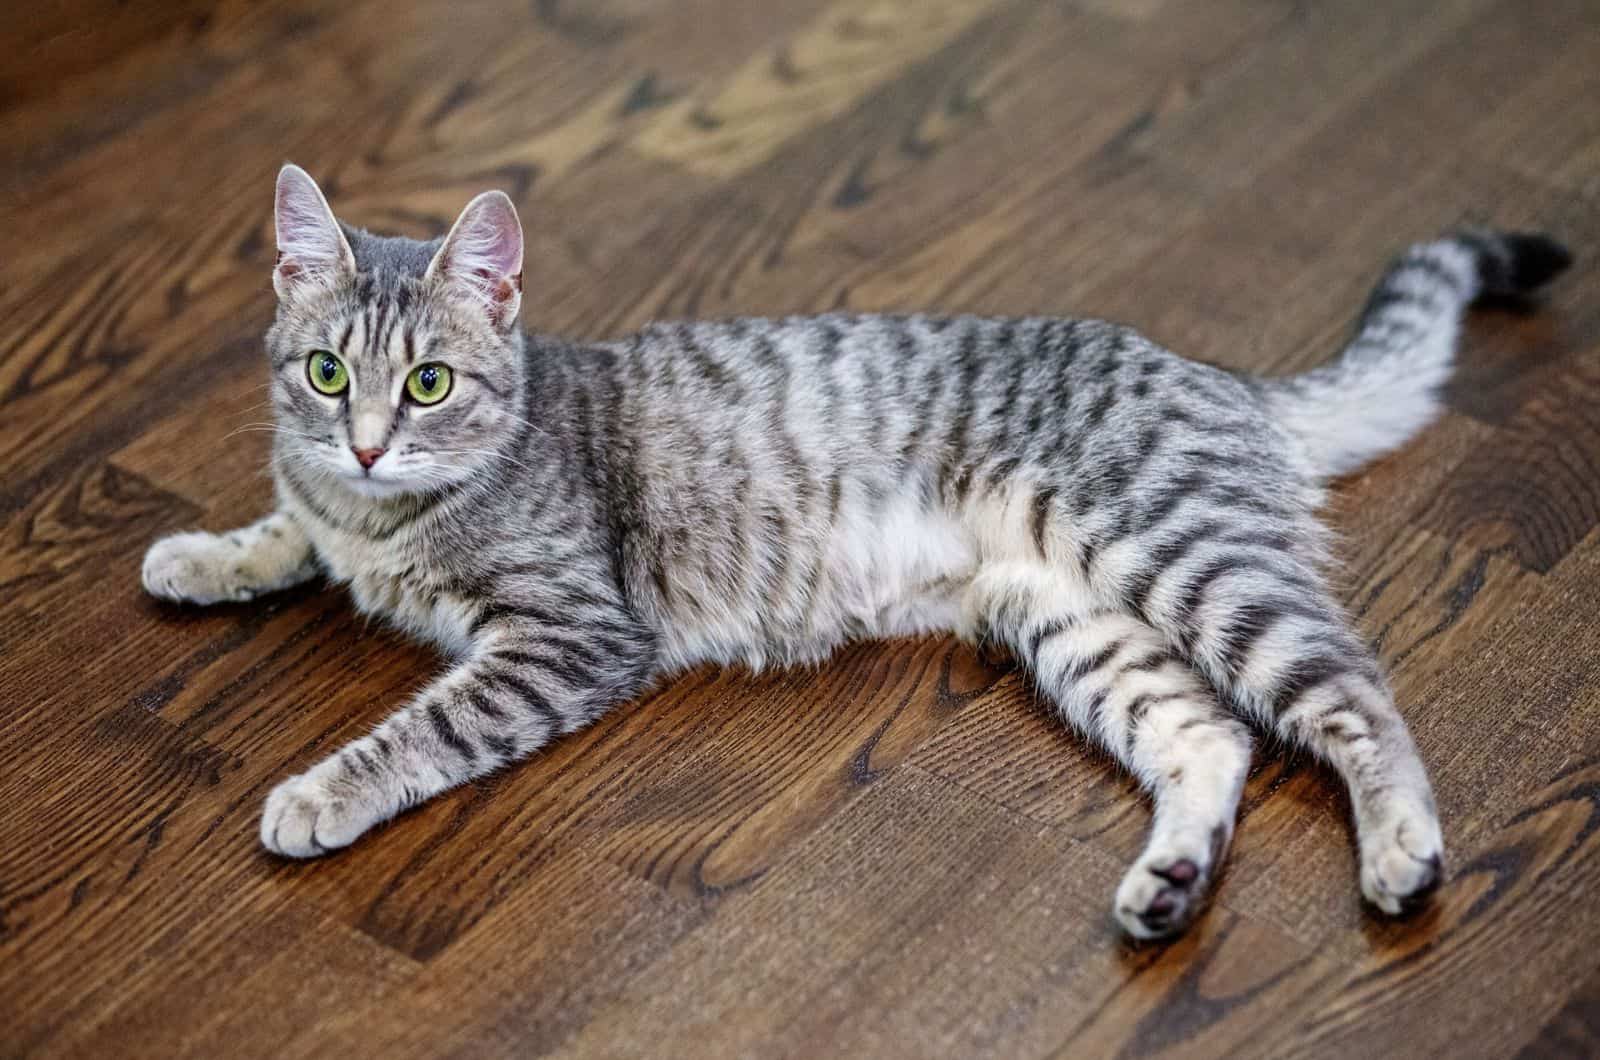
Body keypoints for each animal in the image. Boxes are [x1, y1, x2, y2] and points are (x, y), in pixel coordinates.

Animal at [144, 164, 1568, 941]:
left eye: (429, 383)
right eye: (328, 373)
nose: (370, 442)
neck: (394, 517)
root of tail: (1217, 376)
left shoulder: (567, 634)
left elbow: (421, 725)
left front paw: (321, 789)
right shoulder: (333, 506)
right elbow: (290, 523)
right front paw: (206, 553)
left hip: (1191, 561)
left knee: (1355, 694)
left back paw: (1400, 850)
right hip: (1076, 625)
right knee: (1210, 739)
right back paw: (1166, 882)